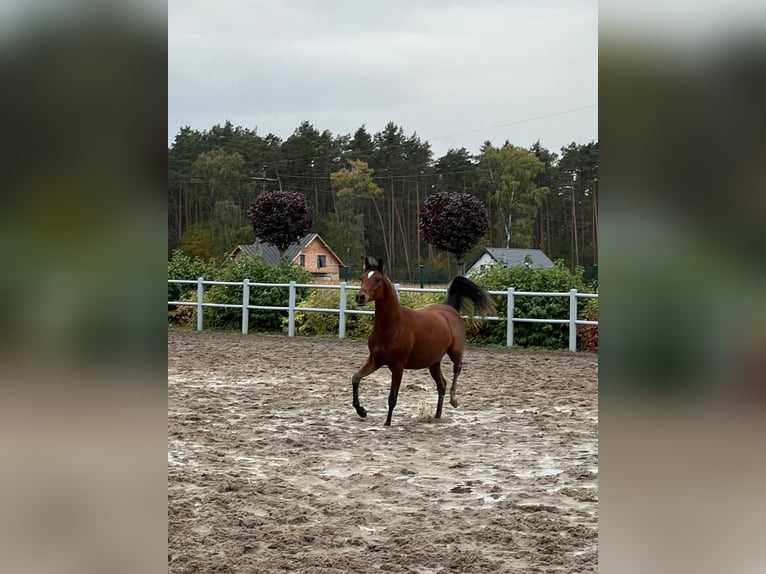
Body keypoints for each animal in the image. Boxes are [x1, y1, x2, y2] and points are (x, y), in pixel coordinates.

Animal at [351, 256, 495, 427]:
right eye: (361, 278)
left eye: (377, 279)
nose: (360, 297)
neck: (392, 326)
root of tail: (450, 309)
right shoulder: (375, 360)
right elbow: (355, 378)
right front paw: (361, 411)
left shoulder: (398, 366)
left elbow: (392, 397)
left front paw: (387, 422)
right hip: (433, 362)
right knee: (442, 385)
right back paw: (437, 415)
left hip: (455, 351)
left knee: (457, 369)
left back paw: (453, 400)